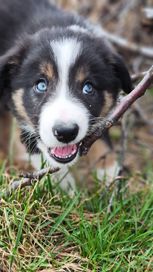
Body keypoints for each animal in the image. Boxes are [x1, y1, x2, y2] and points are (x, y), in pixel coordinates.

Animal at [0, 0, 132, 189]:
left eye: (88, 87)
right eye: (41, 85)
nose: (66, 133)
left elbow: (101, 134)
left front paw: (109, 173)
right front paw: (62, 185)